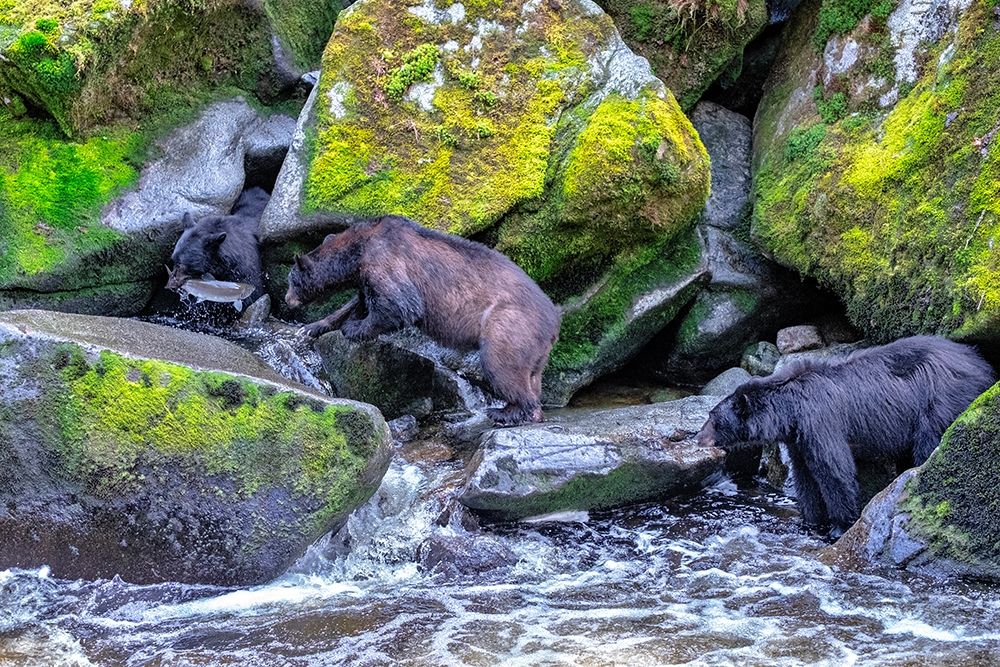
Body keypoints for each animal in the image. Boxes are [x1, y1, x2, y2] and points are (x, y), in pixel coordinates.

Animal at [284, 215, 561, 427]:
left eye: (292, 280)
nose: (287, 300)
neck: (357, 251)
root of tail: (554, 320)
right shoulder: (364, 277)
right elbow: (357, 302)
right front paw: (311, 327)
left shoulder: (385, 259)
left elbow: (400, 304)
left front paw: (353, 328)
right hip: (535, 349)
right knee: (532, 376)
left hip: (508, 325)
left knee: (501, 366)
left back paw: (505, 411)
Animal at [696, 336, 995, 537]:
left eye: (714, 420)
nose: (698, 438)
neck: (790, 410)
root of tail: (984, 366)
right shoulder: (797, 439)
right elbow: (805, 476)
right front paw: (810, 522)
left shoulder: (820, 422)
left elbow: (834, 470)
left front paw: (838, 527)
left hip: (939, 402)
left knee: (928, 444)